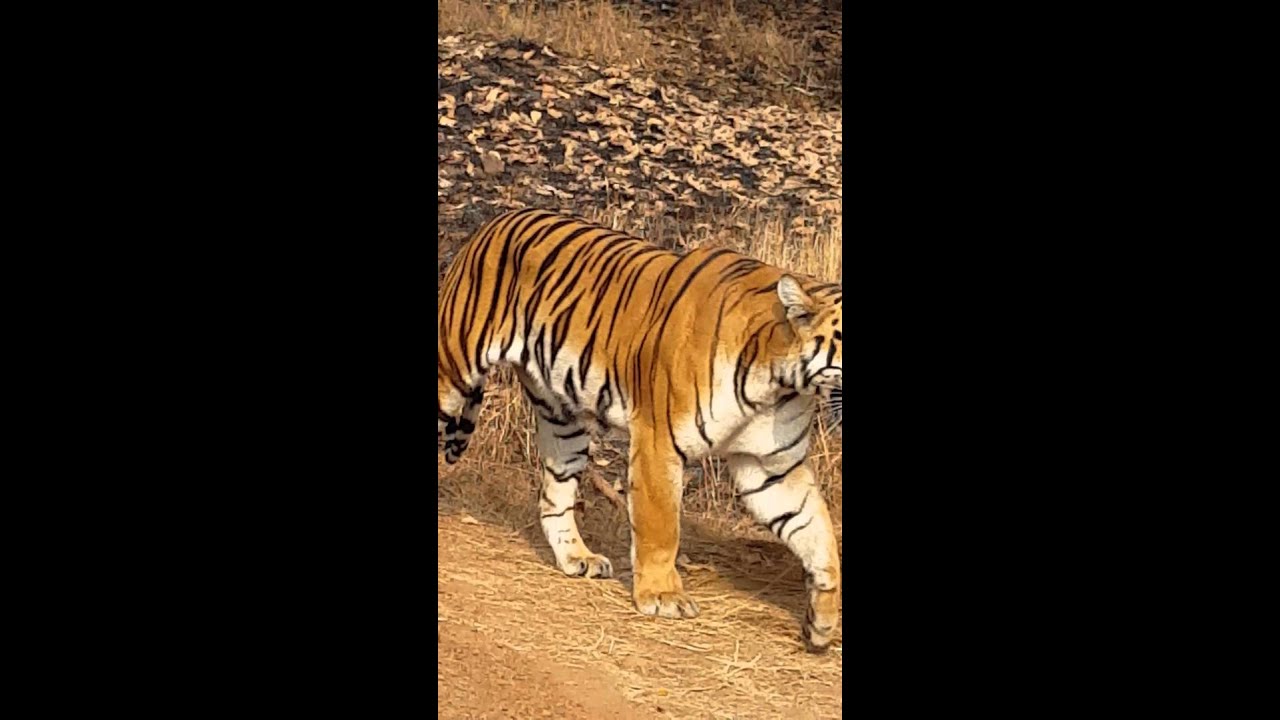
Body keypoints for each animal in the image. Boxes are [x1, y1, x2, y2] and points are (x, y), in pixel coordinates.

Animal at [437, 208, 843, 652]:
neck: (781, 381)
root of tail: (497, 219)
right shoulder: (658, 441)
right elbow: (661, 525)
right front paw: (662, 596)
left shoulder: (771, 467)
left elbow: (819, 534)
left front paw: (822, 622)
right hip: (451, 371)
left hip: (563, 422)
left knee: (554, 497)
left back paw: (577, 559)